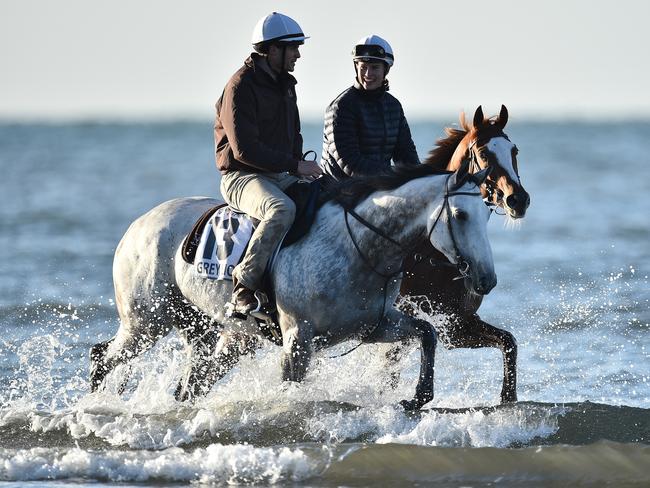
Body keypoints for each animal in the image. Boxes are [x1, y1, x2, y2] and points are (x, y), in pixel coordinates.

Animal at [91, 163, 494, 408]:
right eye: (461, 214)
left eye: (488, 214)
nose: (486, 279)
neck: (357, 243)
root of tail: (138, 225)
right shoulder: (298, 340)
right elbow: (289, 391)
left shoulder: (374, 325)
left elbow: (427, 333)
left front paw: (417, 397)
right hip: (146, 323)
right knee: (102, 357)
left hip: (209, 334)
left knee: (189, 386)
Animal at [394, 106, 528, 404]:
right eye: (483, 153)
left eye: (514, 150)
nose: (518, 200)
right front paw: (417, 396)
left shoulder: (457, 325)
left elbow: (508, 342)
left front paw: (507, 396)